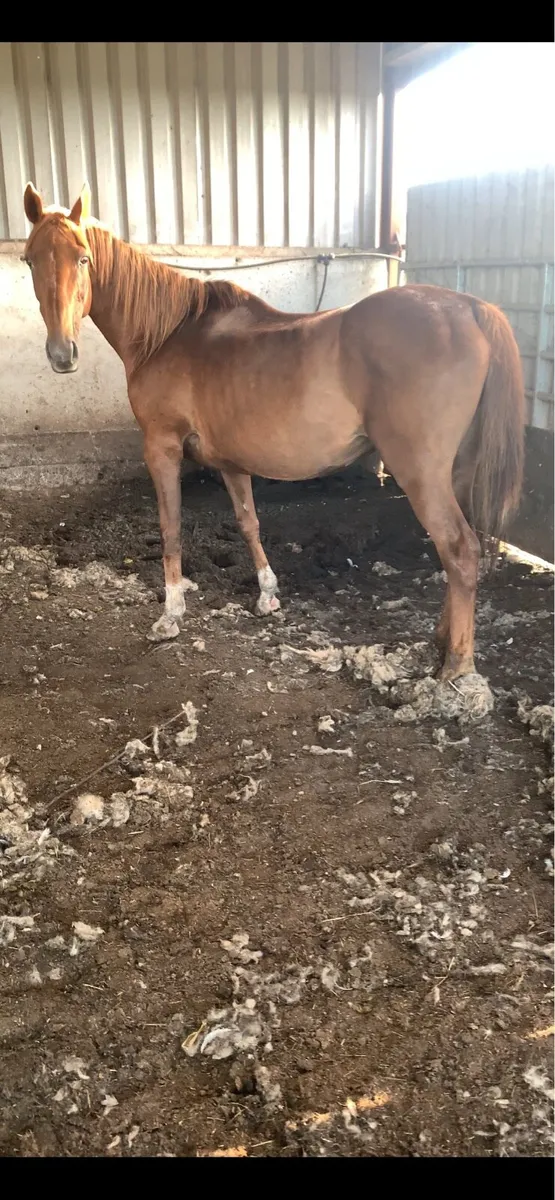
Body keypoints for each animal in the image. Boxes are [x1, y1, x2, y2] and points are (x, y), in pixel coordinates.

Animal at [22, 182, 524, 681]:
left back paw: (456, 665)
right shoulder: (230, 461)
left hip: (420, 472)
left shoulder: (161, 448)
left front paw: (170, 614)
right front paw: (267, 594)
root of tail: (471, 309)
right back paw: (440, 642)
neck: (168, 335)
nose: (62, 354)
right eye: (29, 259)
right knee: (458, 553)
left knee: (458, 550)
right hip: (455, 473)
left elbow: (171, 527)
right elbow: (249, 522)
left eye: (83, 257)